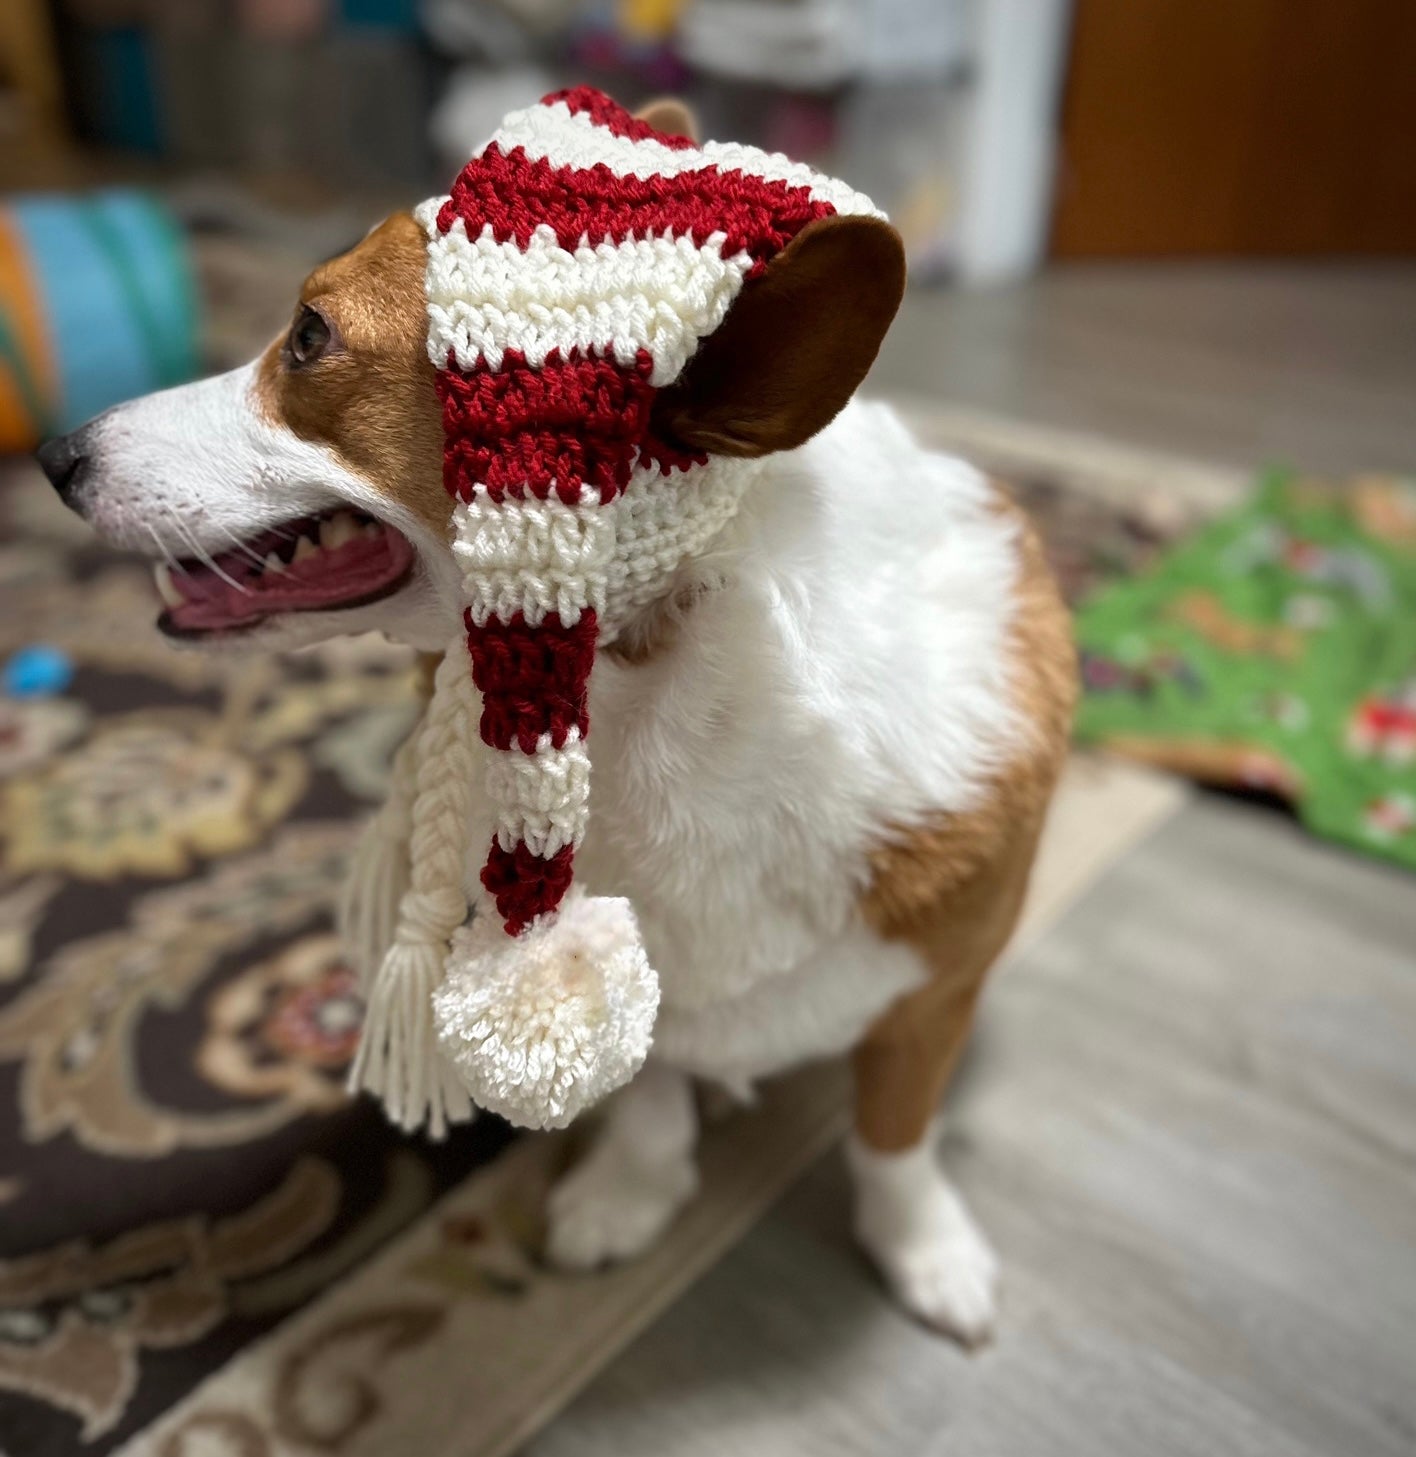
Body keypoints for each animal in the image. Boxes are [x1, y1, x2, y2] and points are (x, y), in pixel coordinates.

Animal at [35, 91, 1072, 1340]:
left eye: (311, 335)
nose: (53, 455)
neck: (647, 678)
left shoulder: (934, 1001)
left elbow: (895, 1137)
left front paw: (927, 1252)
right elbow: (652, 1085)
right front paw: (626, 1194)